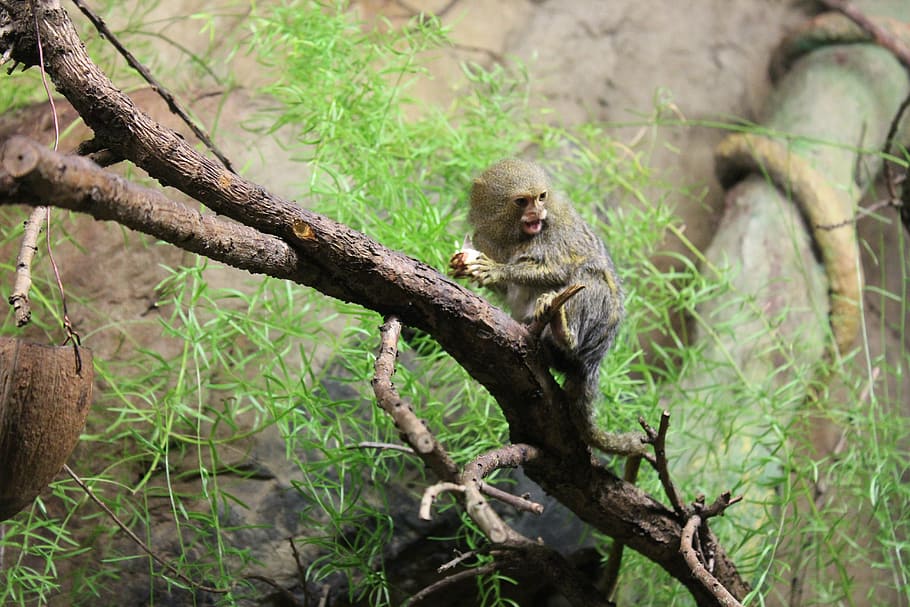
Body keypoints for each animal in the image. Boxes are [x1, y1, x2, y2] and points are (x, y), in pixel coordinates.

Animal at [449, 158, 647, 457]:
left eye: (541, 197)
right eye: (522, 201)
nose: (538, 212)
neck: (515, 236)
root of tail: (594, 361)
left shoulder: (558, 231)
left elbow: (560, 268)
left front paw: (497, 270)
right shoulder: (485, 237)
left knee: (590, 276)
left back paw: (564, 331)